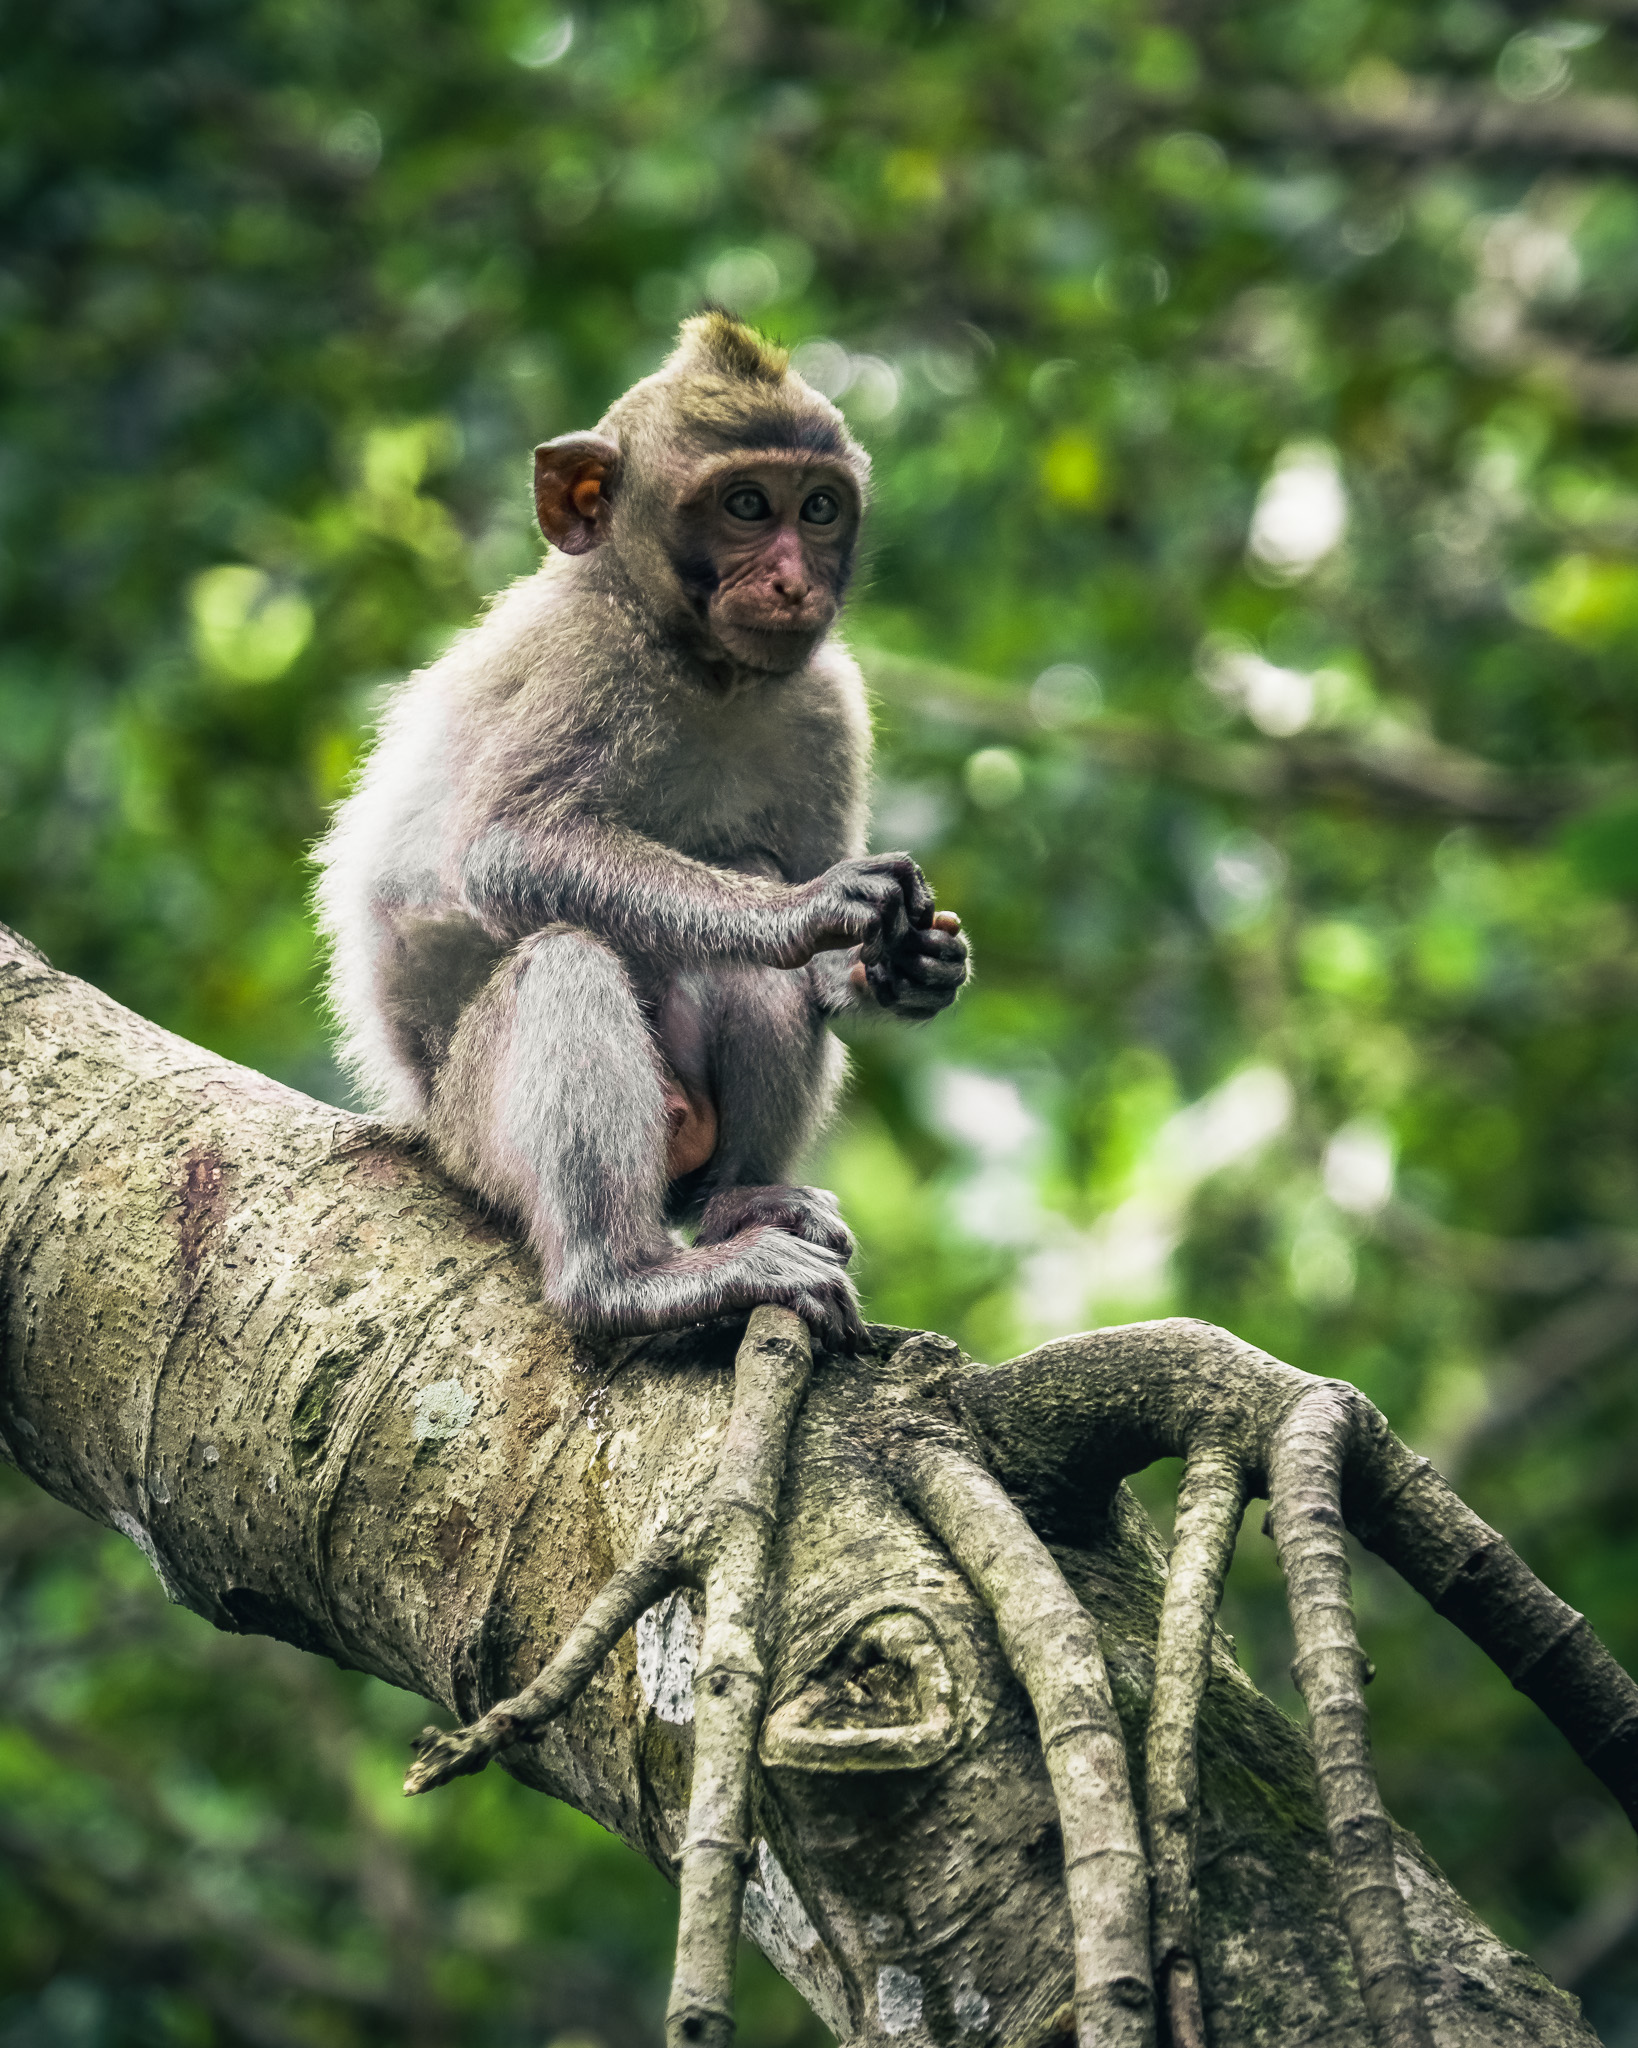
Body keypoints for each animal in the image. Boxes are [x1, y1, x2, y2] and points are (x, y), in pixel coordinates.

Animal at [314, 312, 969, 1351]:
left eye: (820, 509)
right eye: (747, 504)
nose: (794, 582)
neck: (699, 665)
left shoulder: (829, 701)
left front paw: (904, 964)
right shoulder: (585, 666)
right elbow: (507, 853)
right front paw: (806, 907)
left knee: (742, 940)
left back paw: (743, 1206)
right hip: (475, 1135)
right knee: (565, 963)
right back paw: (628, 1280)